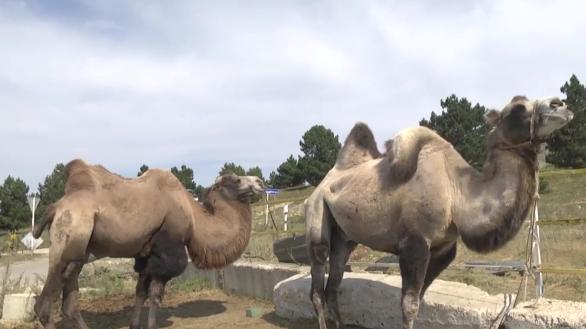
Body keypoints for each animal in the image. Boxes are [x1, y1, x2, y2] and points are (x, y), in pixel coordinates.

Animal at [29, 159, 262, 328]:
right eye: (236, 180)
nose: (260, 182)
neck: (193, 217)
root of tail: (55, 208)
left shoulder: (146, 254)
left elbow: (140, 291)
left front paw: (134, 324)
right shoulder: (167, 253)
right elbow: (155, 295)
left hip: (79, 254)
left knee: (69, 304)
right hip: (67, 243)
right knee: (43, 306)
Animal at [306, 95, 572, 328]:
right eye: (518, 107)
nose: (560, 104)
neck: (457, 196)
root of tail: (324, 182)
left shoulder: (444, 249)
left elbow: (421, 300)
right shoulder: (414, 243)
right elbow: (409, 305)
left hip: (345, 238)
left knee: (333, 286)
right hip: (317, 215)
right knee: (318, 286)